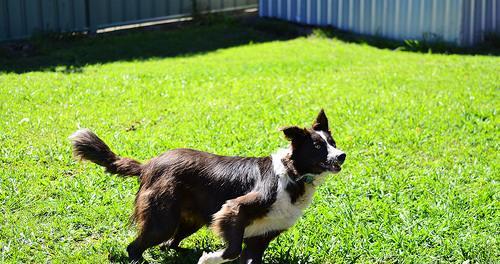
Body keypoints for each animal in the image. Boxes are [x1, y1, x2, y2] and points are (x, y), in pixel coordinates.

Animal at [69, 109, 344, 262]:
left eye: (333, 142)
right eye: (318, 146)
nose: (342, 156)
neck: (293, 173)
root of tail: (148, 165)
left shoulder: (263, 235)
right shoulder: (234, 209)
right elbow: (232, 250)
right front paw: (209, 258)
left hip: (190, 220)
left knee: (170, 243)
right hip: (162, 220)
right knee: (135, 247)